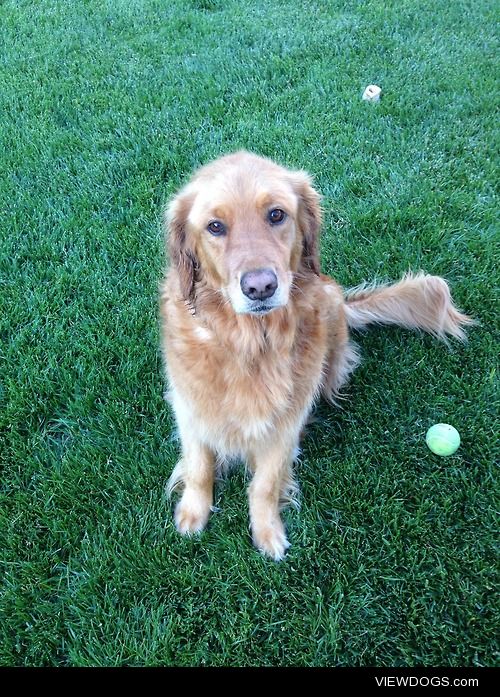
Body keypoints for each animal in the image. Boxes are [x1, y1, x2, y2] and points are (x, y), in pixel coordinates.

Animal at [160, 151, 472, 560]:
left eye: (276, 214)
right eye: (215, 226)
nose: (260, 287)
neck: (251, 343)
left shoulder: (286, 423)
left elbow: (265, 482)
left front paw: (268, 533)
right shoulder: (190, 408)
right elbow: (198, 467)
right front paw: (192, 515)